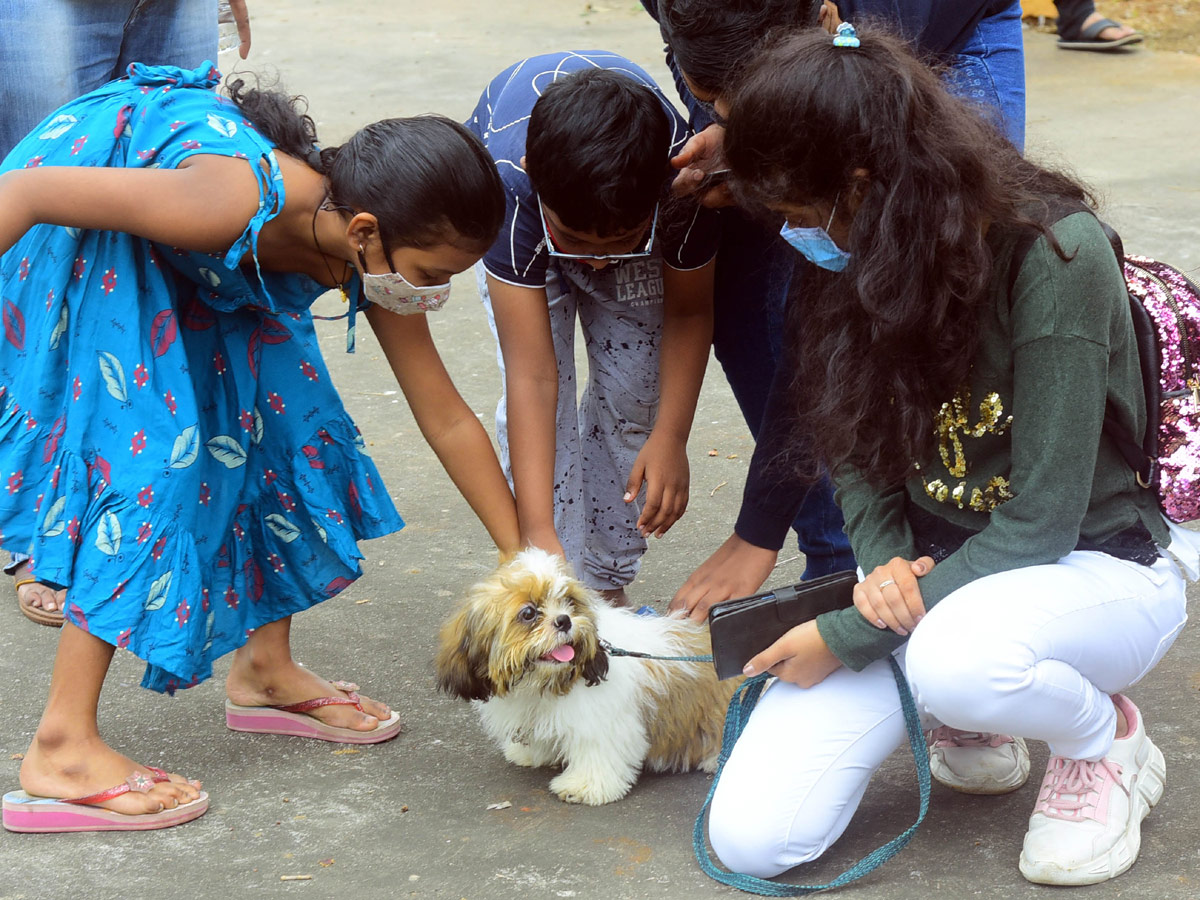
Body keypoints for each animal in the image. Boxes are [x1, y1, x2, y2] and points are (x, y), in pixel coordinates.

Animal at [439, 549, 739, 811]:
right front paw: (529, 752)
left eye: (569, 602)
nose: (564, 620)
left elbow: (597, 753)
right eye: (528, 613)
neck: (547, 682)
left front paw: (583, 787)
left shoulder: (601, 722)